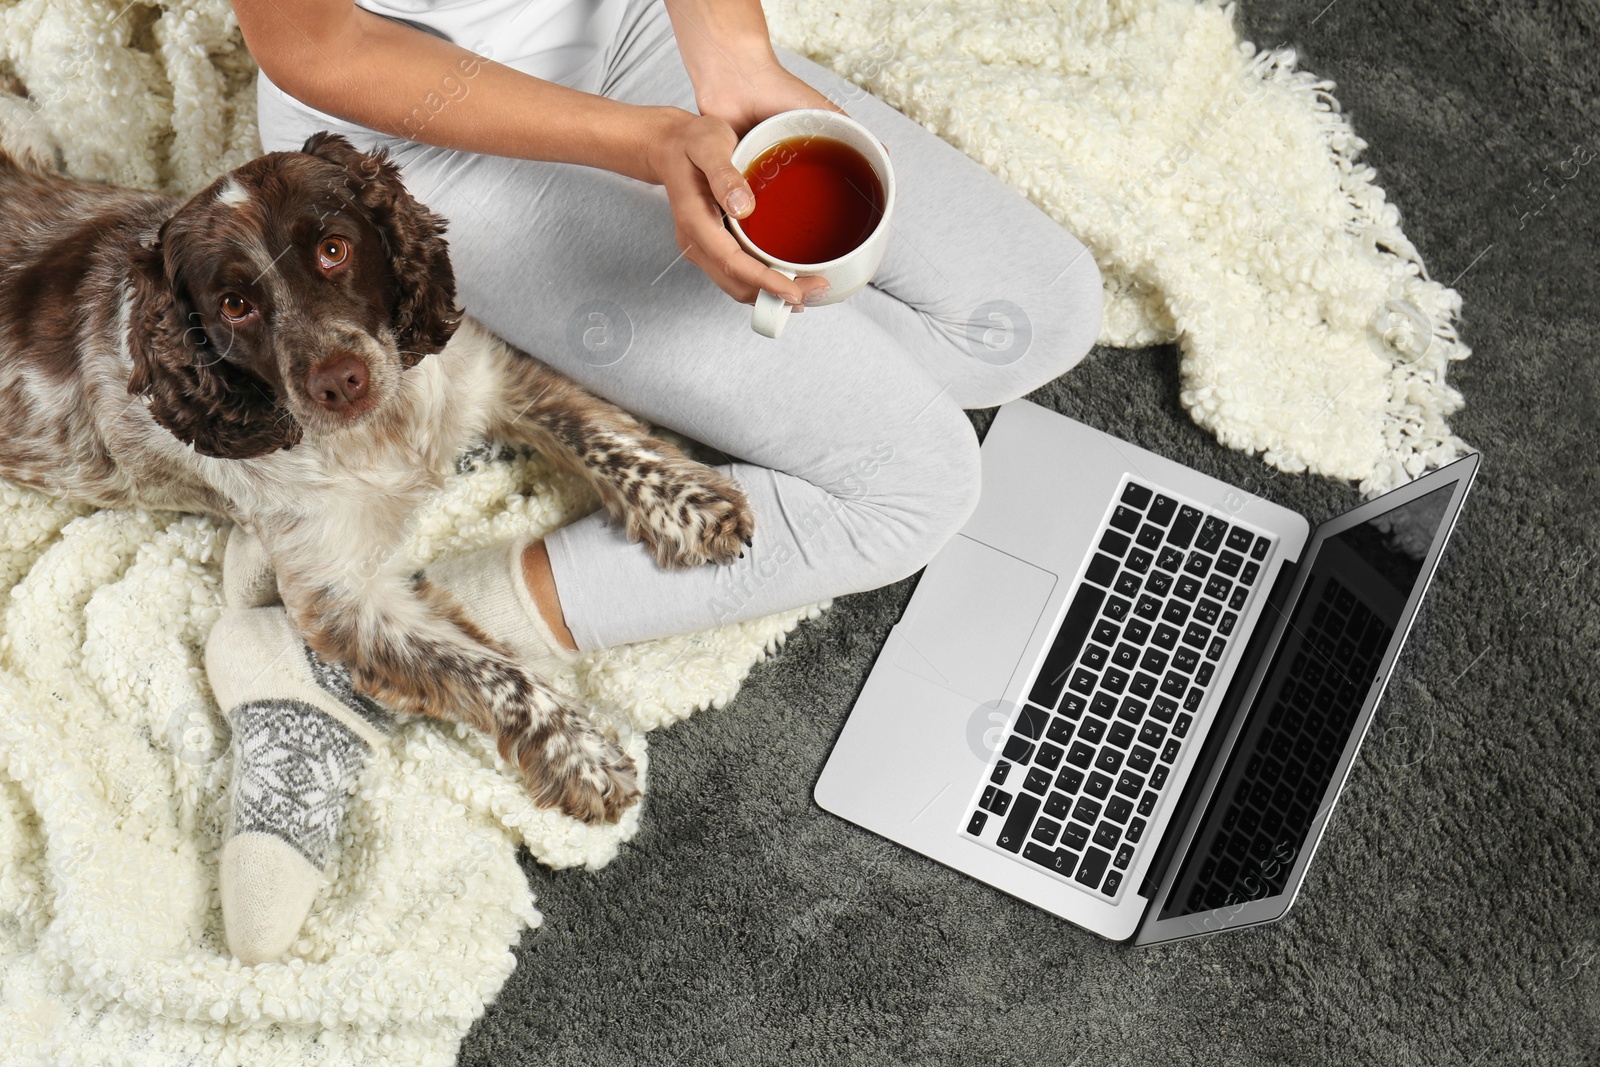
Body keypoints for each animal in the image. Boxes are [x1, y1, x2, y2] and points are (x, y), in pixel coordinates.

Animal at [0, 99, 755, 825]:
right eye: (235, 304)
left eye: (334, 249)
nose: (340, 380)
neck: (384, 433)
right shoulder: (340, 597)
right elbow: (491, 674)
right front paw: (580, 755)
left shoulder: (484, 378)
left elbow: (597, 435)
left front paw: (688, 505)